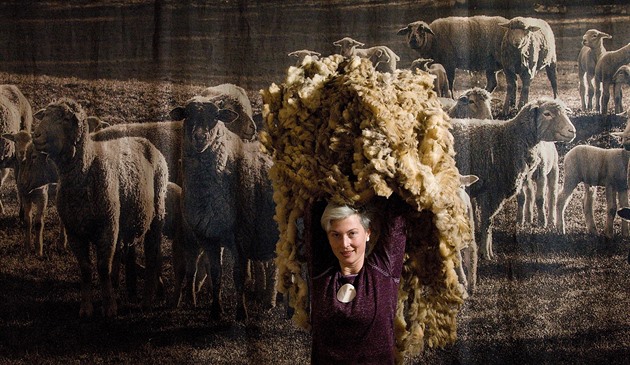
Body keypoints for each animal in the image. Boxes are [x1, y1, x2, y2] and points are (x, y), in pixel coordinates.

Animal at [30, 98, 169, 318]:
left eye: (65, 119)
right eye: (44, 116)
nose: (36, 135)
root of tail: (145, 141)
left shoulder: (107, 227)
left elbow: (103, 267)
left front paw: (109, 307)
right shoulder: (75, 231)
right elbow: (86, 269)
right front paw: (86, 307)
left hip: (157, 214)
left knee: (152, 254)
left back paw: (147, 300)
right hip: (124, 221)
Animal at [169, 94, 278, 318]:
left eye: (216, 117)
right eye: (187, 115)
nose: (199, 138)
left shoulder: (241, 236)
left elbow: (239, 276)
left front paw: (241, 313)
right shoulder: (208, 236)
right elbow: (216, 273)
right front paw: (215, 310)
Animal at [452, 97, 580, 258]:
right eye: (547, 113)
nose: (572, 131)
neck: (510, 138)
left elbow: (489, 222)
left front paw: (488, 251)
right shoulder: (492, 190)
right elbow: (488, 221)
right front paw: (486, 253)